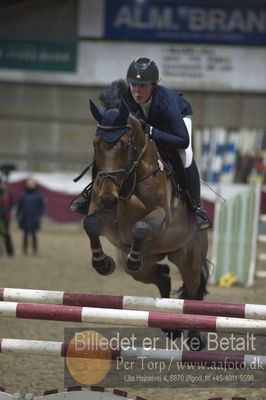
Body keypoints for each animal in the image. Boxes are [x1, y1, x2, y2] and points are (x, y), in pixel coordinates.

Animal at [84, 95, 209, 348]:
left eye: (125, 144)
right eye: (95, 143)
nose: (108, 198)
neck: (128, 181)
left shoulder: (162, 215)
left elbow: (140, 227)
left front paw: (132, 257)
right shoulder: (101, 213)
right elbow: (90, 224)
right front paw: (102, 263)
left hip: (189, 259)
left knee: (192, 289)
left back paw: (193, 336)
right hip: (147, 267)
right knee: (163, 276)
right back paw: (170, 326)